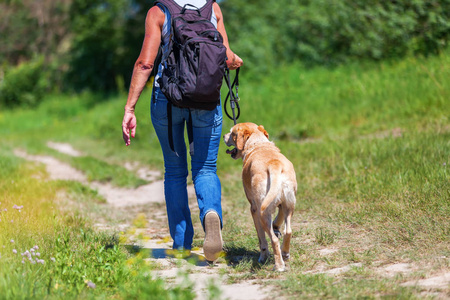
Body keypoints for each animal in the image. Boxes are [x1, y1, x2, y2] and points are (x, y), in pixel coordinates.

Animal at [223, 122, 298, 272]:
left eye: (232, 133)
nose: (223, 136)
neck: (258, 144)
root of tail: (274, 164)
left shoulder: (253, 209)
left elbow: (261, 239)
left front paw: (263, 257)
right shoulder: (281, 204)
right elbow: (279, 218)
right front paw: (276, 226)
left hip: (262, 212)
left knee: (273, 239)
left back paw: (279, 265)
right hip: (289, 205)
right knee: (288, 231)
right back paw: (285, 254)